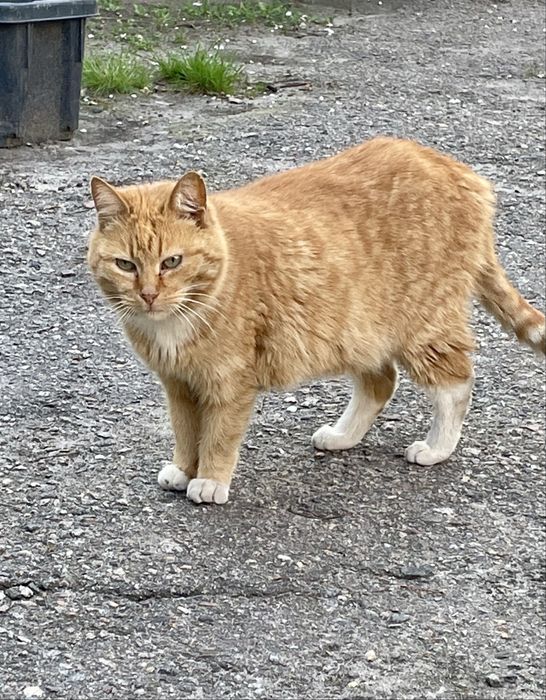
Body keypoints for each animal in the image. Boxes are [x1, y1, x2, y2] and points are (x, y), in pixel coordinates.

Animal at [87, 137, 545, 505]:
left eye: (172, 262)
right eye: (126, 265)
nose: (148, 295)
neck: (180, 316)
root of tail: (450, 166)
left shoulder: (230, 383)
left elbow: (218, 435)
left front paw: (210, 480)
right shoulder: (179, 384)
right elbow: (185, 432)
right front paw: (184, 469)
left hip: (424, 325)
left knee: (456, 384)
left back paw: (436, 448)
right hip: (358, 329)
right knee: (382, 382)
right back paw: (343, 436)